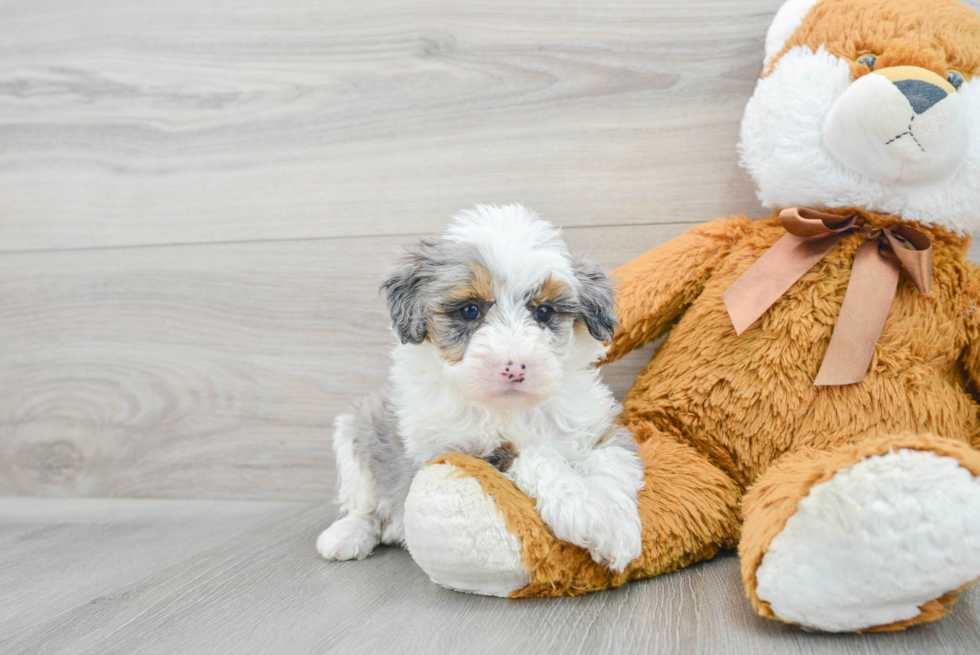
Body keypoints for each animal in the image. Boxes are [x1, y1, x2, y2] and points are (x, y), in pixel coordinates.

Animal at [318, 205, 648, 576]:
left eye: (544, 312)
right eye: (469, 310)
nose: (515, 368)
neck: (512, 409)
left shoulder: (596, 426)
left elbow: (611, 464)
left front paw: (616, 521)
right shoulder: (464, 452)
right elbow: (538, 457)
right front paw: (590, 512)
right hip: (354, 434)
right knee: (365, 504)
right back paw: (348, 535)